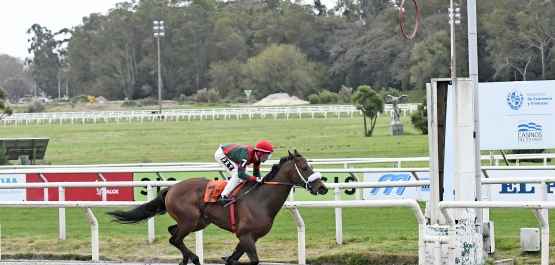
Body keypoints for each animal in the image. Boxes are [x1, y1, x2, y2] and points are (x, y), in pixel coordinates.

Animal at [106, 150, 328, 264]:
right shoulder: (245, 235)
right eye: (305, 168)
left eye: (311, 166)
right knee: (174, 238)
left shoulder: (250, 237)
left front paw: (227, 257)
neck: (261, 199)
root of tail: (171, 188)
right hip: (190, 219)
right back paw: (194, 258)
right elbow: (253, 260)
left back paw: (185, 259)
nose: (323, 187)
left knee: (173, 232)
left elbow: (235, 259)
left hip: (198, 221)